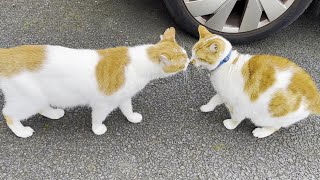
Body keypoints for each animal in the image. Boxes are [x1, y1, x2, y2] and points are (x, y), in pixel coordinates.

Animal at [0, 26, 190, 138]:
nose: (190, 61)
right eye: (183, 61)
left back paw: (53, 113)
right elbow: (98, 117)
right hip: (28, 100)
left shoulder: (123, 96)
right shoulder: (103, 103)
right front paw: (98, 129)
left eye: (186, 54)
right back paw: (21, 131)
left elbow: (127, 108)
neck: (138, 62)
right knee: (8, 114)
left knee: (41, 106)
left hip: (38, 97)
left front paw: (132, 117)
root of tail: (7, 53)